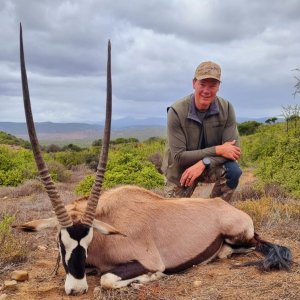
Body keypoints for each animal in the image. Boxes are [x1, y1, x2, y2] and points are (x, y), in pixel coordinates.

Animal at [15, 24, 292, 296]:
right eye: (60, 241)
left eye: (88, 239)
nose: (76, 288)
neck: (110, 219)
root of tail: (224, 206)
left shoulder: (146, 261)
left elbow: (108, 278)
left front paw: (144, 280)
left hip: (239, 236)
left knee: (251, 243)